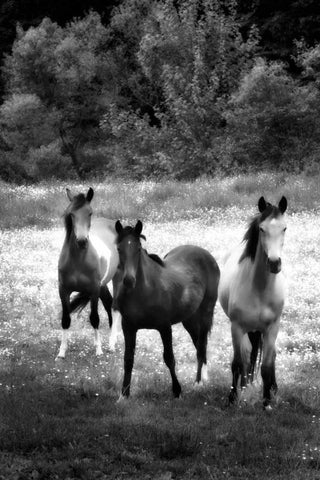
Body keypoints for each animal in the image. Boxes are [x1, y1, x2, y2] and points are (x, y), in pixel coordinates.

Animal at [57, 189, 119, 358]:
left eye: (89, 213)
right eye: (71, 214)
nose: (82, 241)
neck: (78, 261)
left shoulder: (94, 290)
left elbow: (94, 318)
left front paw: (98, 350)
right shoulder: (63, 290)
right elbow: (65, 319)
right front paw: (62, 351)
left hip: (118, 279)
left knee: (115, 307)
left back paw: (112, 343)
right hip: (103, 285)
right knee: (109, 303)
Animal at [112, 221, 220, 398]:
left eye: (138, 248)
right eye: (119, 248)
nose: (128, 280)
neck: (145, 290)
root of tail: (206, 254)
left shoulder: (164, 327)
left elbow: (169, 358)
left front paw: (177, 391)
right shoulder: (128, 327)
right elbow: (128, 359)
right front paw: (124, 395)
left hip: (206, 312)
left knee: (201, 346)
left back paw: (198, 382)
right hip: (189, 319)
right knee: (198, 344)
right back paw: (203, 379)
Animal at [218, 195, 288, 408]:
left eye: (284, 228)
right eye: (262, 229)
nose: (274, 263)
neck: (259, 289)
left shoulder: (272, 328)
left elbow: (266, 365)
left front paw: (267, 402)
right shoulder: (237, 327)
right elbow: (237, 363)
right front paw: (232, 398)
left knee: (270, 357)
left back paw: (273, 389)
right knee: (246, 357)